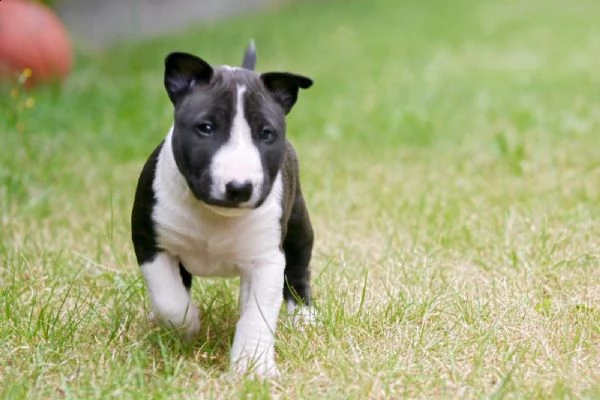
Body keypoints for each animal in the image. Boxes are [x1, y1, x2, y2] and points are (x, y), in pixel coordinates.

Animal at [130, 43, 314, 378]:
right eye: (205, 128)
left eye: (266, 133)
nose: (240, 187)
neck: (214, 216)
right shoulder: (150, 242)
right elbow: (169, 299)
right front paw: (187, 326)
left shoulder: (267, 258)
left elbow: (258, 315)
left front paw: (253, 366)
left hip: (298, 225)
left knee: (297, 270)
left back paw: (303, 317)